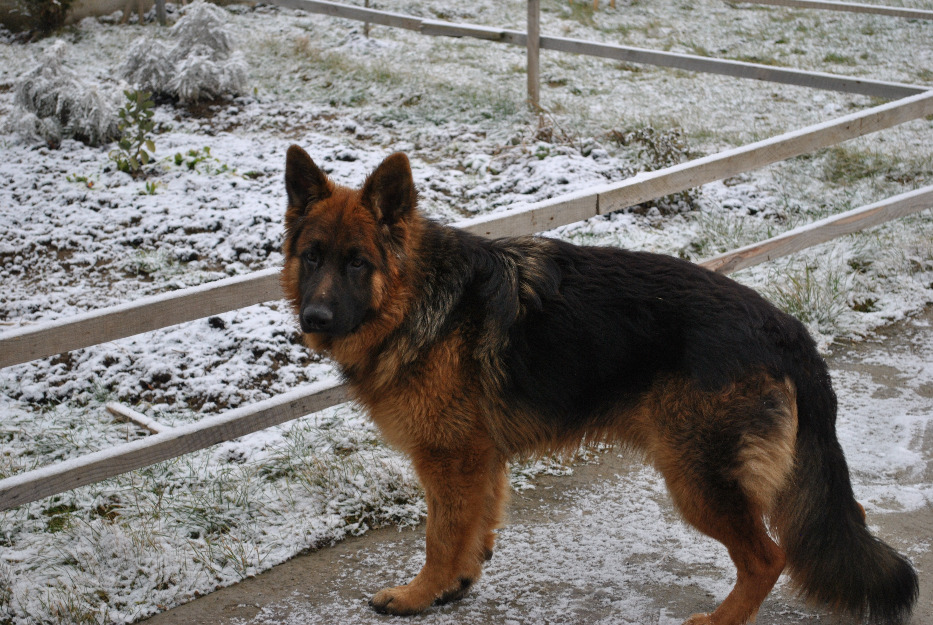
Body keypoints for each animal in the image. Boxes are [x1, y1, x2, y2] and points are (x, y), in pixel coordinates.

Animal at [280, 146, 912, 624]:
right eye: (312, 257)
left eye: (358, 262)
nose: (314, 319)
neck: (421, 297)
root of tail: (786, 328)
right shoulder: (480, 460)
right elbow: (476, 525)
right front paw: (457, 582)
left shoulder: (449, 460)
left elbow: (440, 535)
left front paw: (418, 595)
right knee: (820, 528)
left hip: (697, 479)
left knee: (768, 558)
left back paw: (722, 619)